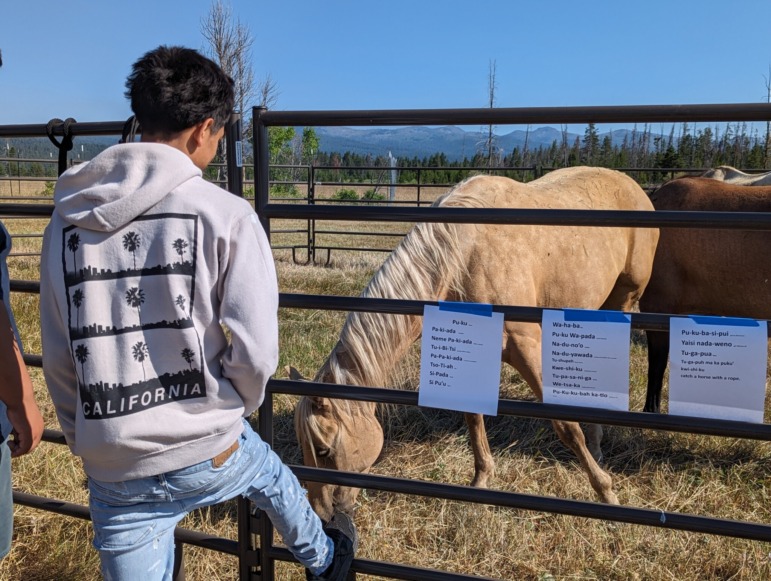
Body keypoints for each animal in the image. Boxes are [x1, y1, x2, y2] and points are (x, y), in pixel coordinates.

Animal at [292, 165, 660, 520]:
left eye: (323, 450)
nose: (321, 513)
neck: (462, 256)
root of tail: (635, 187)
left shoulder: (527, 347)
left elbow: (566, 426)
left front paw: (606, 492)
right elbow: (473, 417)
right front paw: (481, 481)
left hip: (622, 302)